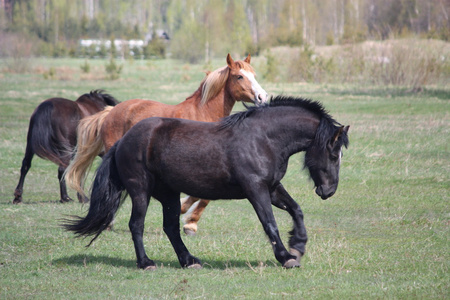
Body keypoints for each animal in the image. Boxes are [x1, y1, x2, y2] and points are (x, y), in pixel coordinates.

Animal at [63, 96, 350, 270]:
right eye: (333, 154)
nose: (329, 191)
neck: (263, 139)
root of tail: (124, 140)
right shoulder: (256, 189)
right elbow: (270, 223)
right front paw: (285, 256)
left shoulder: (271, 188)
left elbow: (296, 210)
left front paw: (298, 246)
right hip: (140, 191)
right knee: (137, 225)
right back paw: (146, 262)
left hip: (168, 194)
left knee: (171, 228)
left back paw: (189, 260)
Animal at [65, 54, 268, 221]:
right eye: (239, 76)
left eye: (254, 75)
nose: (262, 96)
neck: (202, 113)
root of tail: (110, 111)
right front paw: (187, 217)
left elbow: (205, 197)